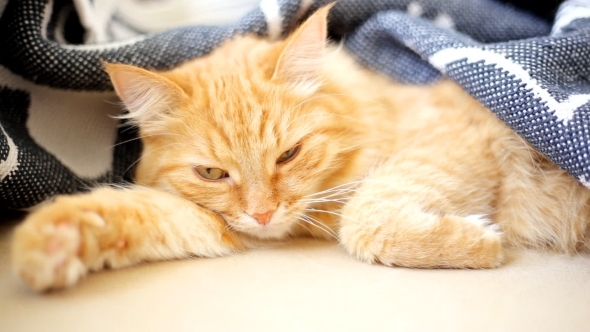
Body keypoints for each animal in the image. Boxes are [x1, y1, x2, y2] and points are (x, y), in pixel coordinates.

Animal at [10, 5, 590, 290]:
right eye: (212, 174)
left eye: (288, 155)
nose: (264, 215)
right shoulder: (215, 223)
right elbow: (135, 213)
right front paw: (50, 245)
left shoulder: (455, 137)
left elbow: (366, 218)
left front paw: (480, 243)